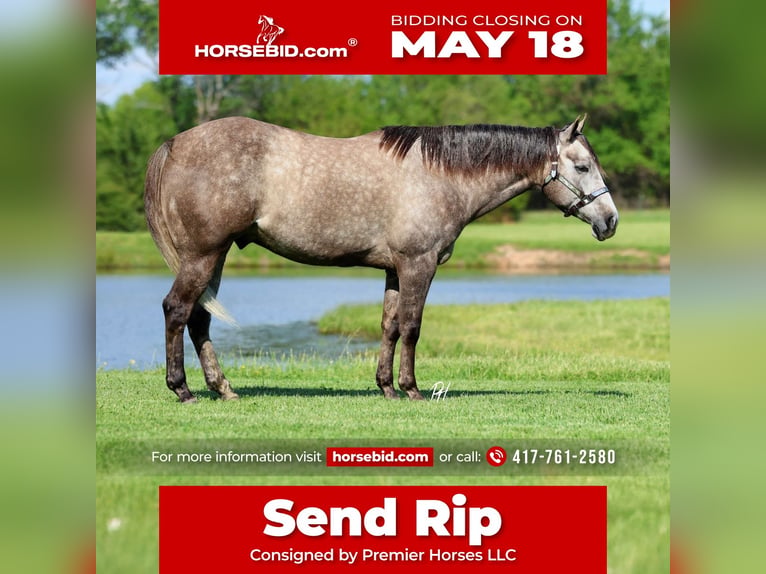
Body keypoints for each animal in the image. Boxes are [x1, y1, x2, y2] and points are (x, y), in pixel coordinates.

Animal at [144, 115, 618, 403]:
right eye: (581, 167)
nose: (610, 220)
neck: (439, 175)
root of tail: (174, 143)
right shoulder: (418, 264)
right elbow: (411, 326)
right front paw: (411, 389)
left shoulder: (394, 269)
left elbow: (389, 326)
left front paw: (386, 387)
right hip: (203, 256)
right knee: (176, 310)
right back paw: (182, 389)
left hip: (215, 257)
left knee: (198, 319)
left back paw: (222, 388)